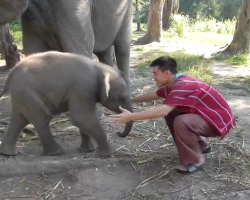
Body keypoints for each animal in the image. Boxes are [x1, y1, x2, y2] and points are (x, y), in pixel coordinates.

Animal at [0, 51, 133, 158]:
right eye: (122, 98)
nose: (119, 133)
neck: (100, 68)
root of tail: (12, 72)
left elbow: (84, 118)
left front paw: (88, 150)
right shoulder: (83, 88)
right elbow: (81, 117)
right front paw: (107, 154)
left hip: (21, 94)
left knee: (20, 119)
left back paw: (8, 153)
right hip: (26, 91)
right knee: (42, 116)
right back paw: (56, 152)